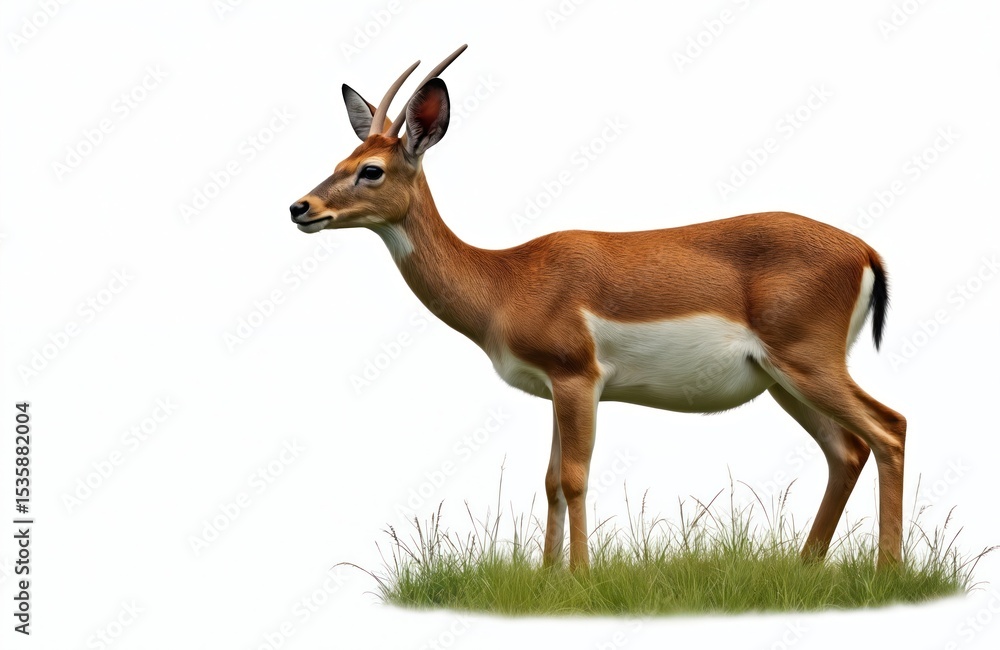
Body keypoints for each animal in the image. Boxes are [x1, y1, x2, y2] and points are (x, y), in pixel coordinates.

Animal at [288, 45, 906, 572]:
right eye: (343, 158)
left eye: (371, 169)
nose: (301, 207)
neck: (504, 279)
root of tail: (864, 250)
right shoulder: (554, 388)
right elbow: (549, 480)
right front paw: (546, 578)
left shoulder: (578, 379)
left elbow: (575, 477)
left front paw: (581, 579)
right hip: (783, 381)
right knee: (847, 451)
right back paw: (807, 566)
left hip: (808, 365)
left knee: (889, 429)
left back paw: (887, 573)